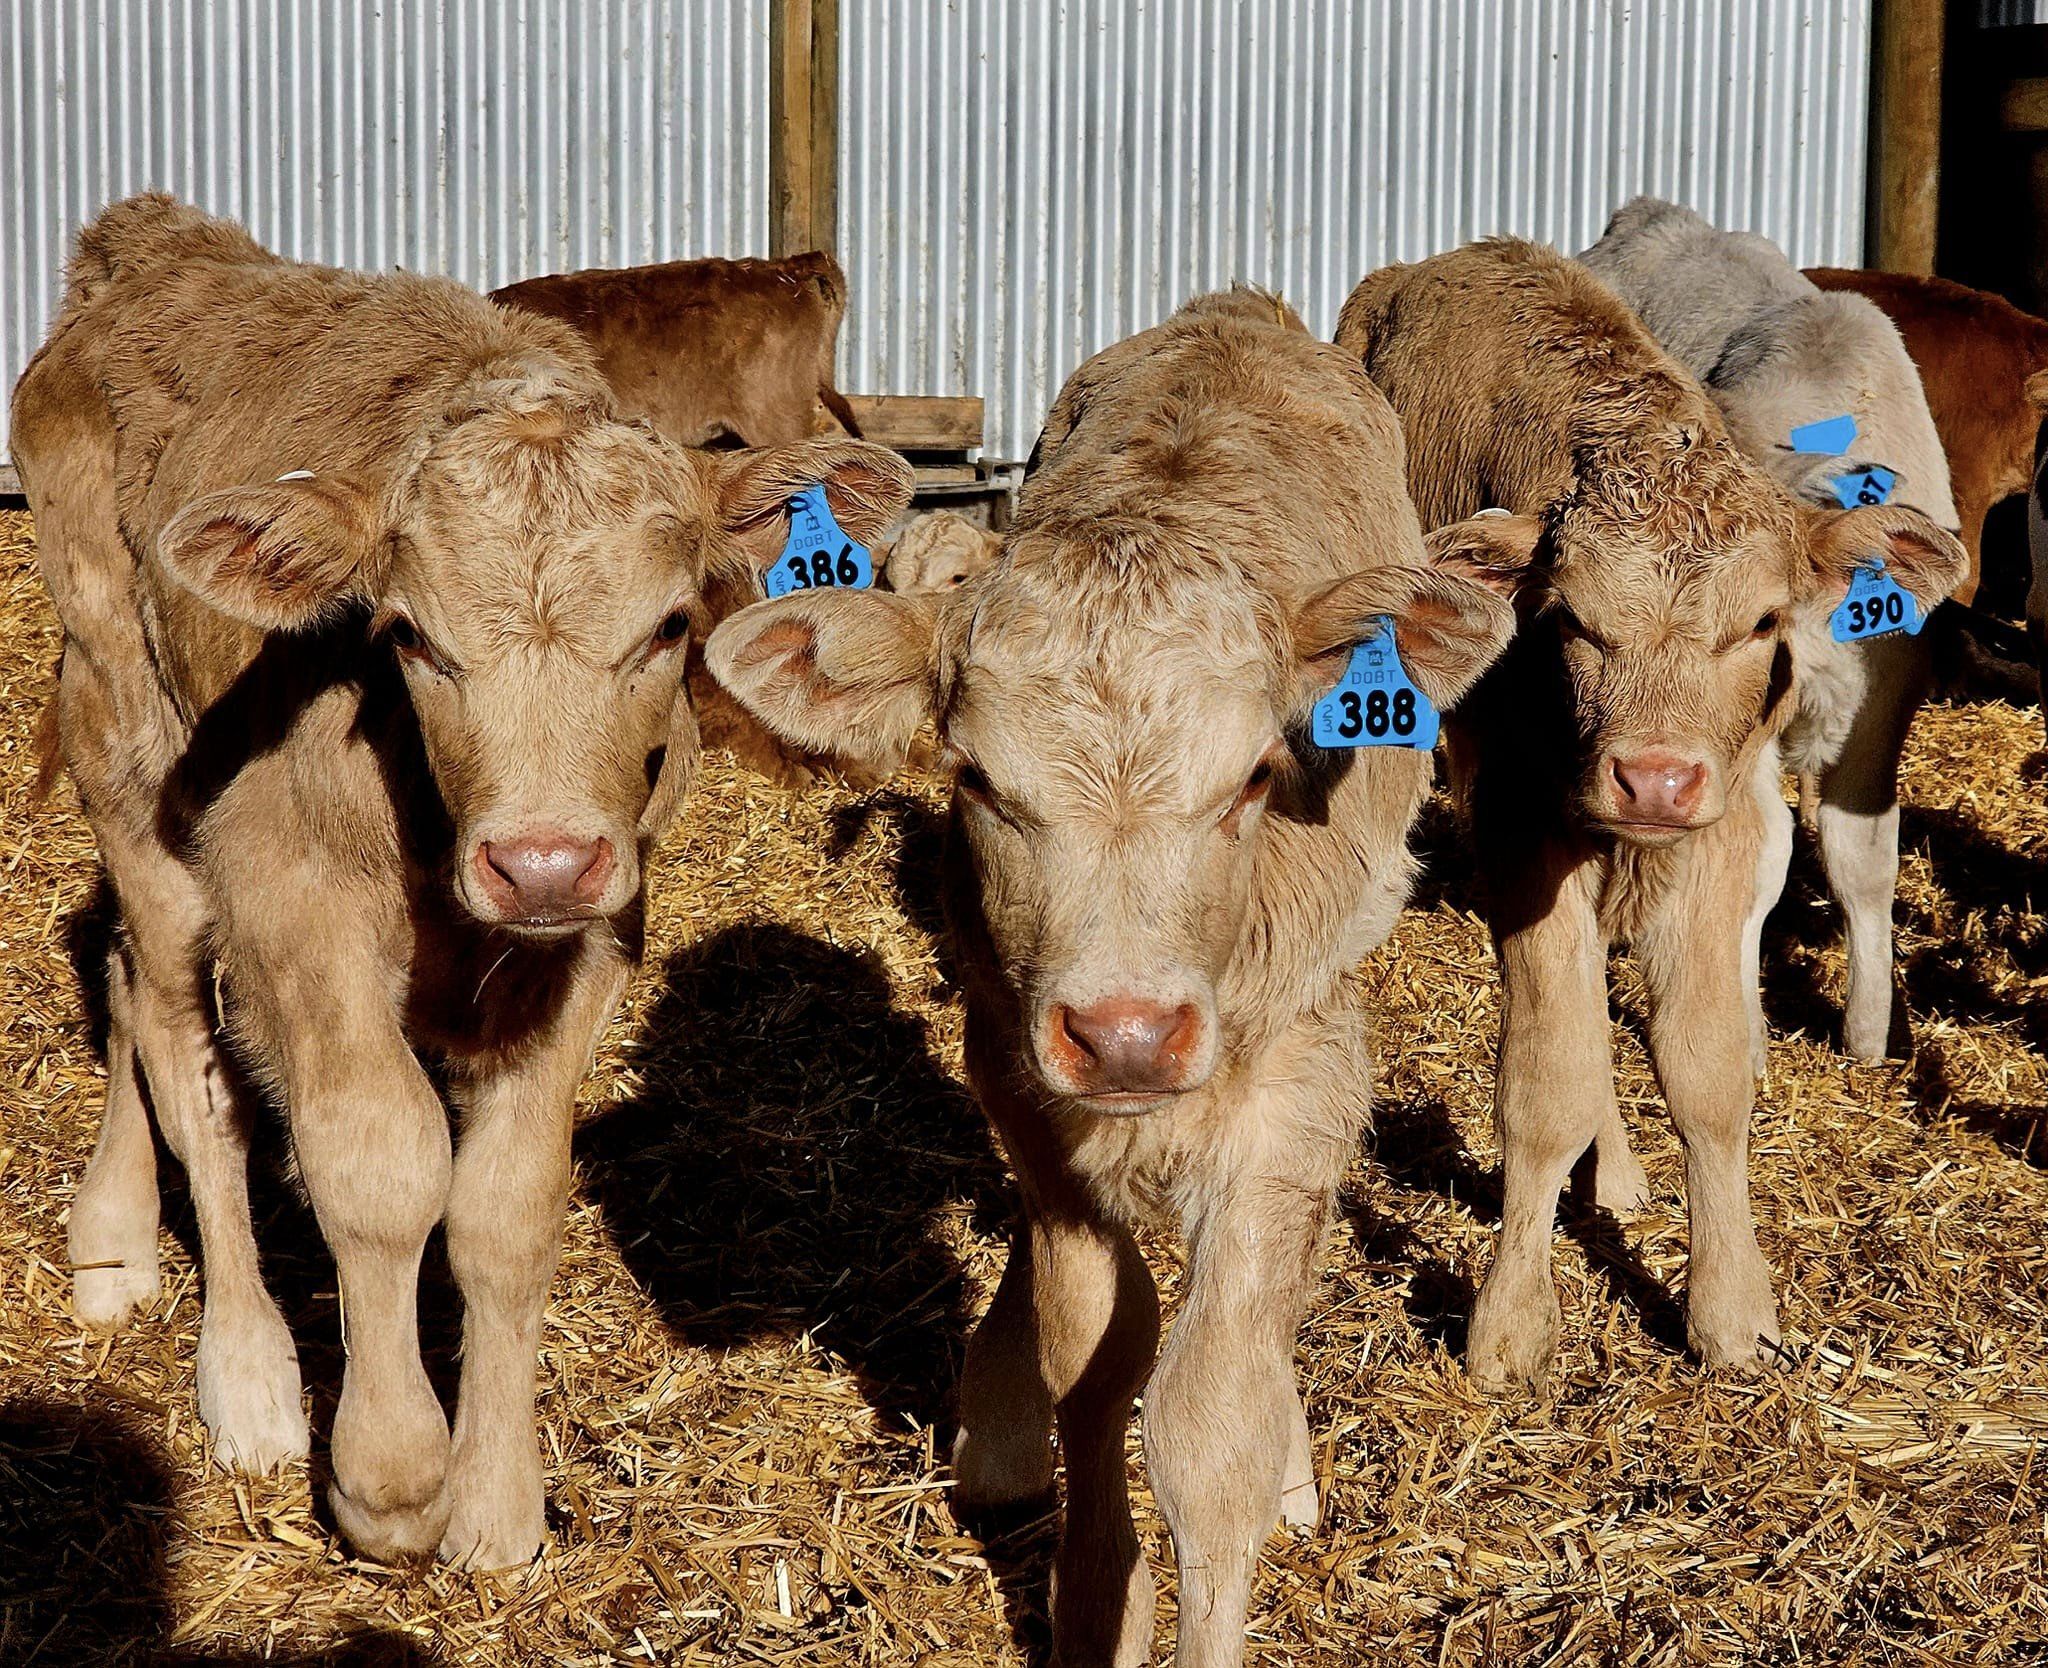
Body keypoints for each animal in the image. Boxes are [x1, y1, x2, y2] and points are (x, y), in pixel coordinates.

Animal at [14, 195, 913, 1565]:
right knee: (181, 1040)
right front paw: (391, 1481)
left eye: (667, 627)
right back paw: (248, 1378)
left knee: (121, 973)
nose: (538, 859)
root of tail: (158, 241)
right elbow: (381, 1164)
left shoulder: (591, 936)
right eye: (412, 637)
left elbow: (503, 1209)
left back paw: (113, 1240)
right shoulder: (294, 903)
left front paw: (495, 1509)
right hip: (129, 740)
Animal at [704, 290, 1507, 1668]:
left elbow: (1208, 1419)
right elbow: (1093, 1355)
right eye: (976, 779)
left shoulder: (1293, 1084)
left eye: (1252, 778)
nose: (1128, 1034)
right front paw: (1090, 1602)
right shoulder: (1022, 1081)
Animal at [1589, 195, 1957, 1065]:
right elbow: (1758, 853)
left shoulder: (1881, 714)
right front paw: (1742, 1035)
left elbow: (1864, 854)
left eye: (1760, 614)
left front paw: (1869, 1036)